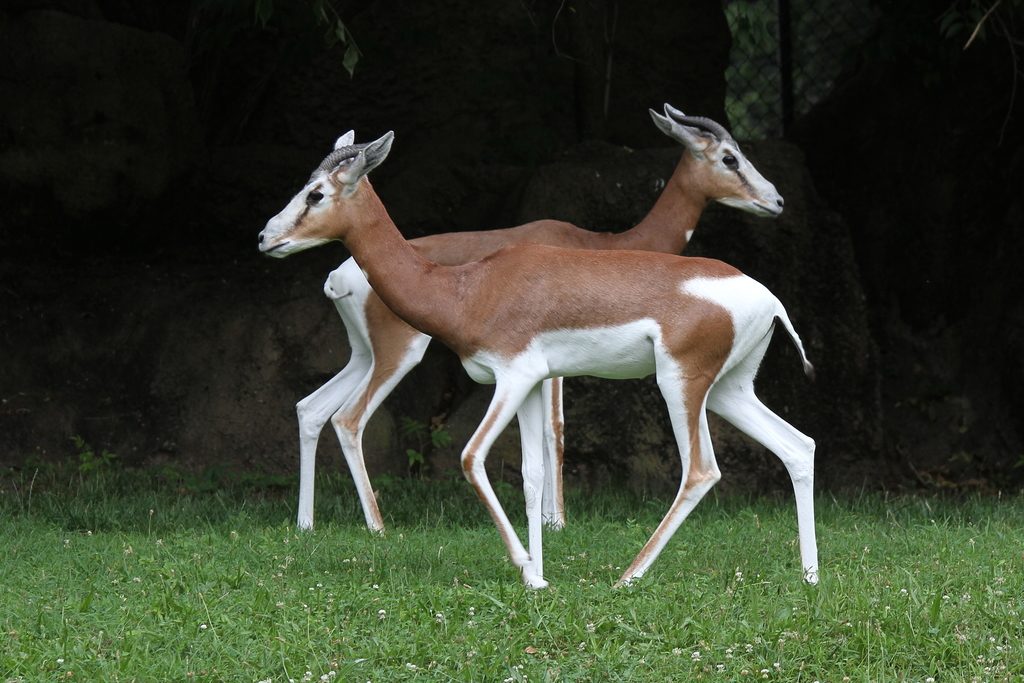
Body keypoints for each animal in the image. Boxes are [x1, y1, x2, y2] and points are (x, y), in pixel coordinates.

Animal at [258, 129, 819, 589]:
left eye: (316, 193)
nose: (265, 237)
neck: (467, 288)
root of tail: (768, 298)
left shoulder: (515, 376)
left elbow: (473, 458)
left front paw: (529, 569)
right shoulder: (530, 384)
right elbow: (529, 473)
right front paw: (538, 573)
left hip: (680, 383)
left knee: (701, 471)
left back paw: (627, 578)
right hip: (728, 390)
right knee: (798, 445)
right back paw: (810, 577)